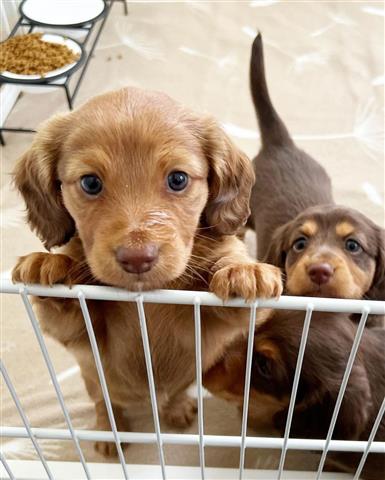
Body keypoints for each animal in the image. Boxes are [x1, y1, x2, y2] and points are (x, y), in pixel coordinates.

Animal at [12, 87, 282, 458]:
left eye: (178, 179)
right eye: (90, 183)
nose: (137, 258)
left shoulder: (210, 328)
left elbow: (229, 284)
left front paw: (243, 271)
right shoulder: (79, 335)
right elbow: (65, 311)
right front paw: (48, 265)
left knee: (172, 393)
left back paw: (176, 408)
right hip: (93, 378)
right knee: (105, 402)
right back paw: (111, 431)